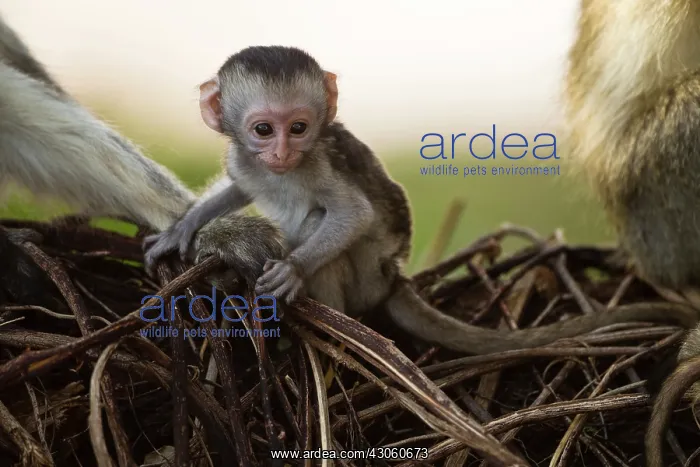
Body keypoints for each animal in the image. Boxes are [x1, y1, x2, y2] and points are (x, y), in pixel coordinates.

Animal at [144, 45, 700, 356]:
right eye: (264, 130)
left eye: (298, 128)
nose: (282, 151)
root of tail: (395, 278)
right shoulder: (244, 162)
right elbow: (238, 188)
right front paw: (181, 229)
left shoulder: (318, 162)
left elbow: (353, 213)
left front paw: (293, 270)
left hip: (368, 275)